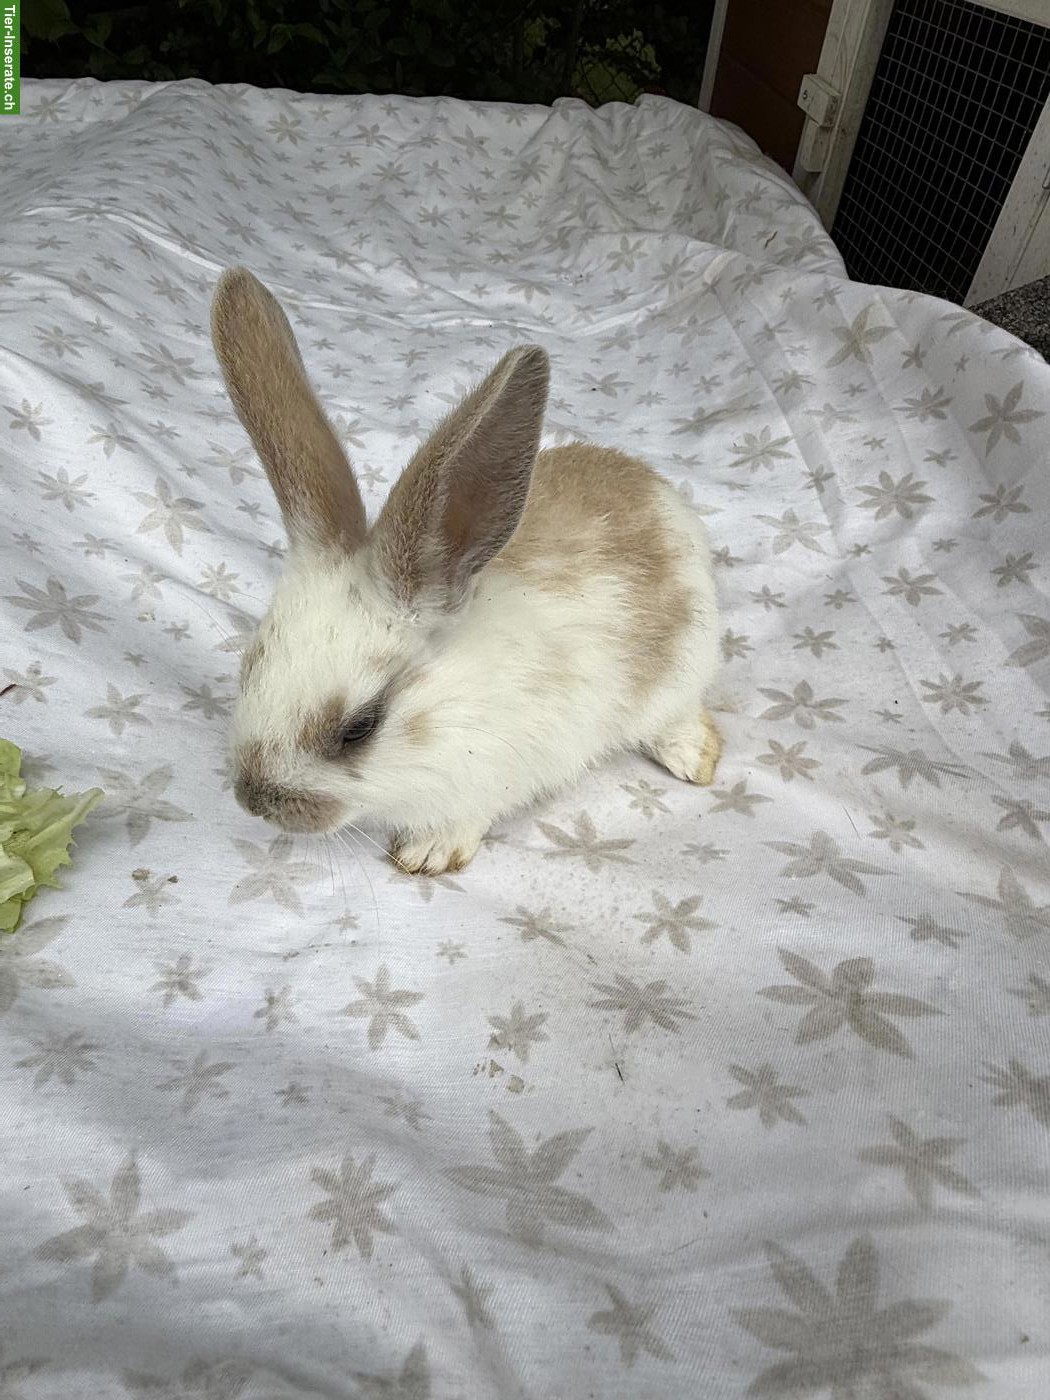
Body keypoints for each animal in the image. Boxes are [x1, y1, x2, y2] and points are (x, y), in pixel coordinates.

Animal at [211, 267, 722, 876]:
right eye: (249, 668)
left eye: (359, 729)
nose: (255, 801)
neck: (448, 701)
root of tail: (654, 484)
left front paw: (426, 854)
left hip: (682, 672)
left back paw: (695, 758)